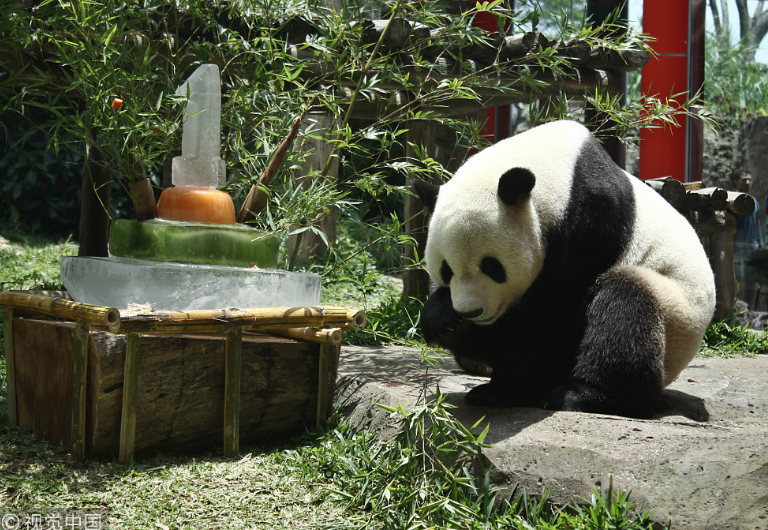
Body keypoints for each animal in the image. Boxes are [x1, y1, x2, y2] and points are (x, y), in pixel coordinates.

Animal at [412, 118, 716, 416]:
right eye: (446, 270)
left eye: (491, 266)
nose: (470, 311)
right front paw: (446, 321)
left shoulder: (590, 226)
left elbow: (551, 318)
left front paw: (507, 388)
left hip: (675, 314)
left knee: (626, 310)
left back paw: (584, 396)